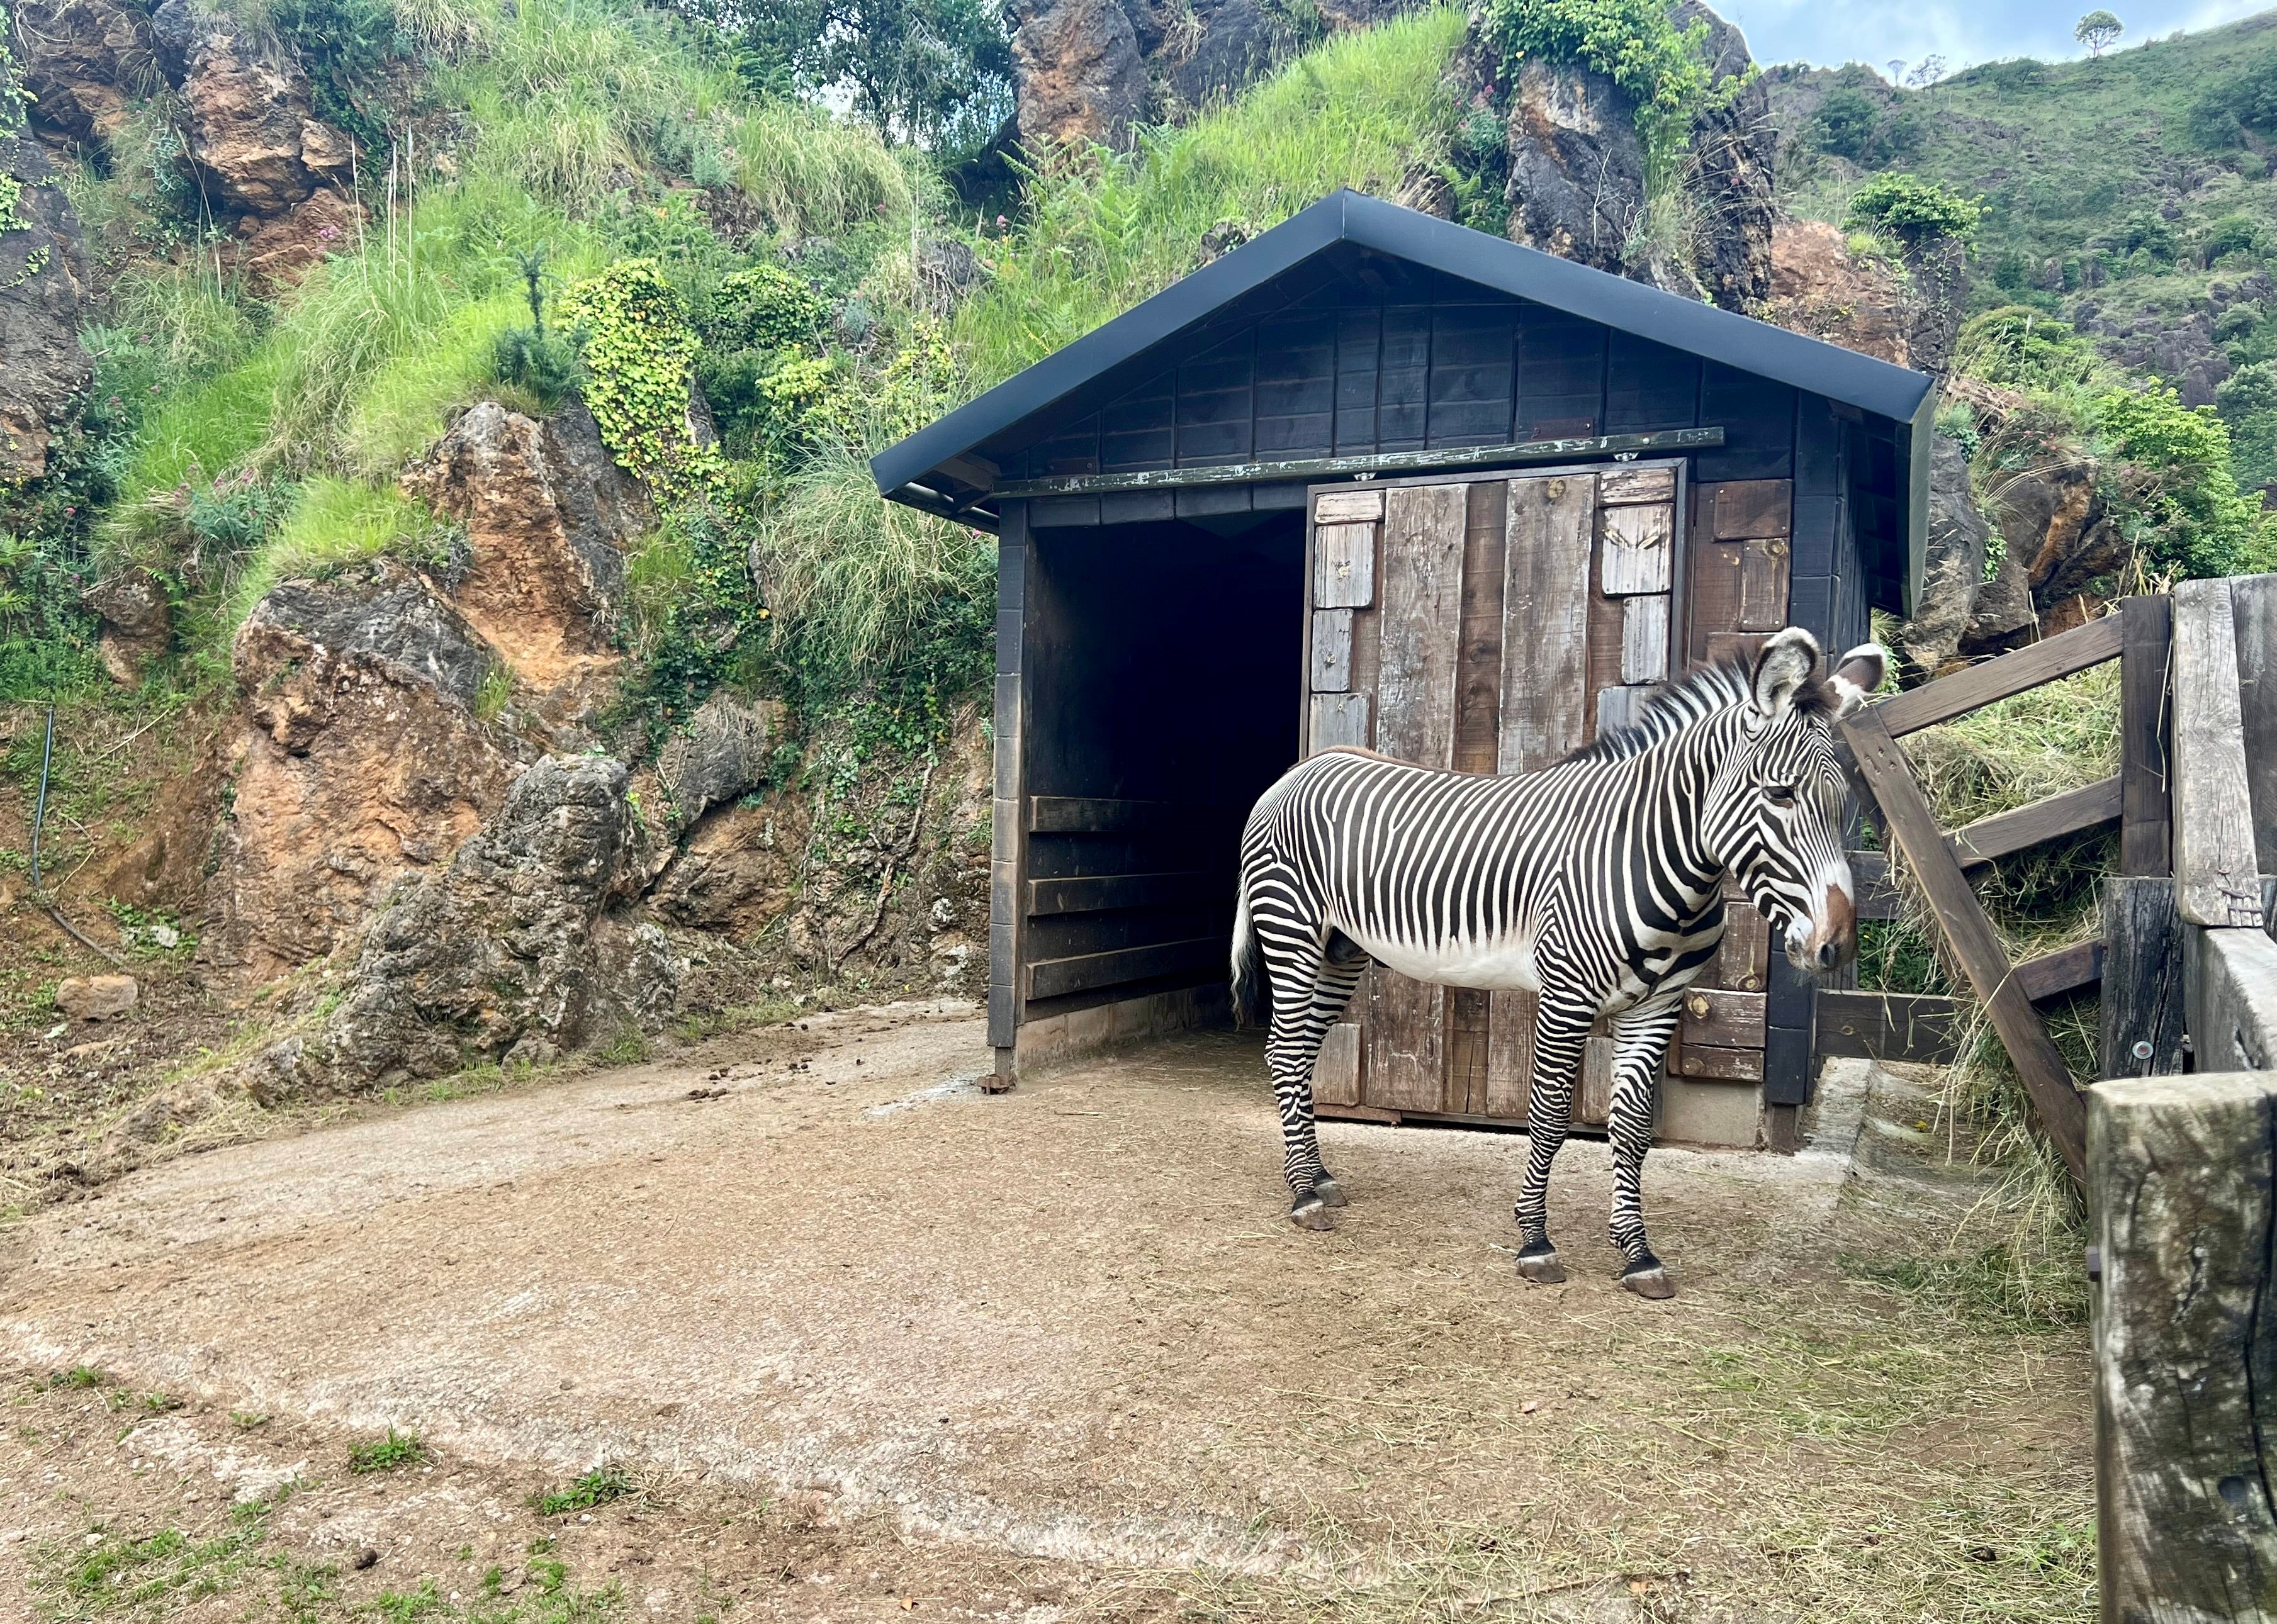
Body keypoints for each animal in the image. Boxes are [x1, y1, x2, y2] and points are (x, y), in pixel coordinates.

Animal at [1229, 629, 1885, 1302]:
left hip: (1341, 950)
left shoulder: (1658, 1005)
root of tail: (1301, 768)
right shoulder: (1566, 994)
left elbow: (1633, 1126)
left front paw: (1637, 1253)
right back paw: (1303, 1195)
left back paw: (1318, 1176)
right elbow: (1548, 1115)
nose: (1836, 948)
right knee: (1284, 1052)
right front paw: (1535, 1241)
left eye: (1847, 808)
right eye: (1780, 794)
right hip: (1292, 932)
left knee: (1300, 1053)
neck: (1651, 855)